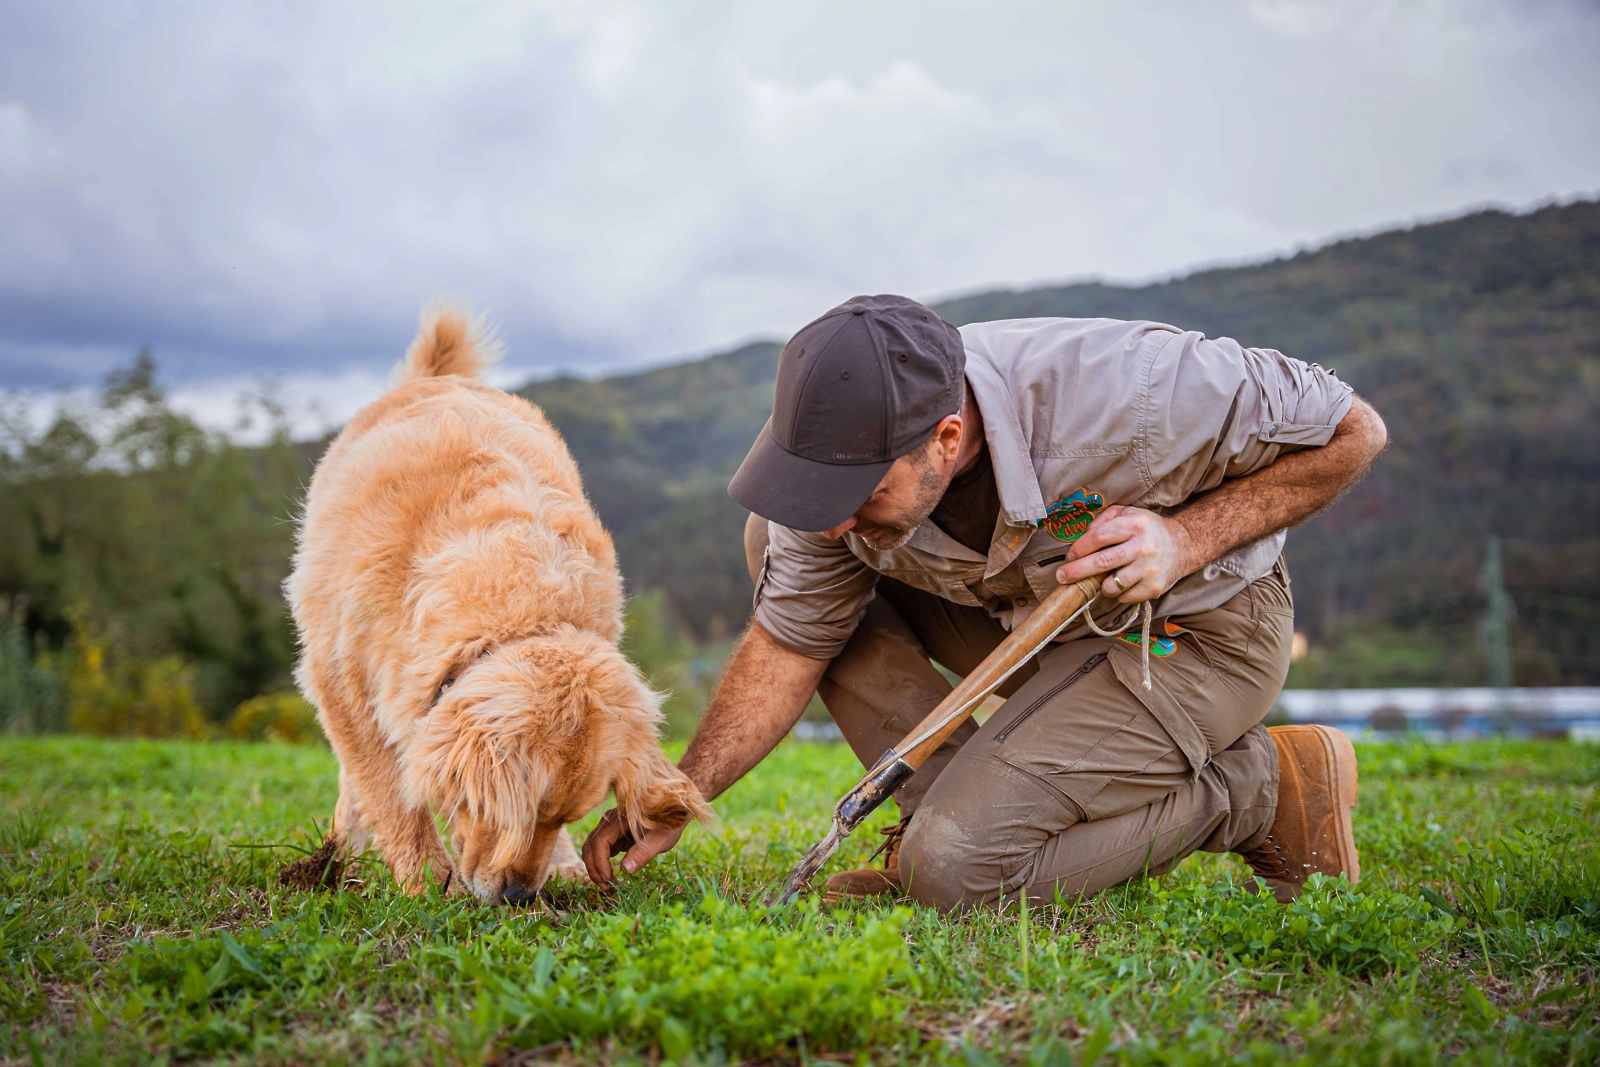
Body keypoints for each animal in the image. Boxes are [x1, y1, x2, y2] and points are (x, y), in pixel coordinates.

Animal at [286, 308, 707, 902]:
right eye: (512, 814)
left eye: (560, 816)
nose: (519, 896)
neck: (521, 606)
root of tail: (437, 376)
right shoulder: (342, 678)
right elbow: (390, 789)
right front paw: (425, 880)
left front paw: (560, 862)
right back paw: (335, 855)